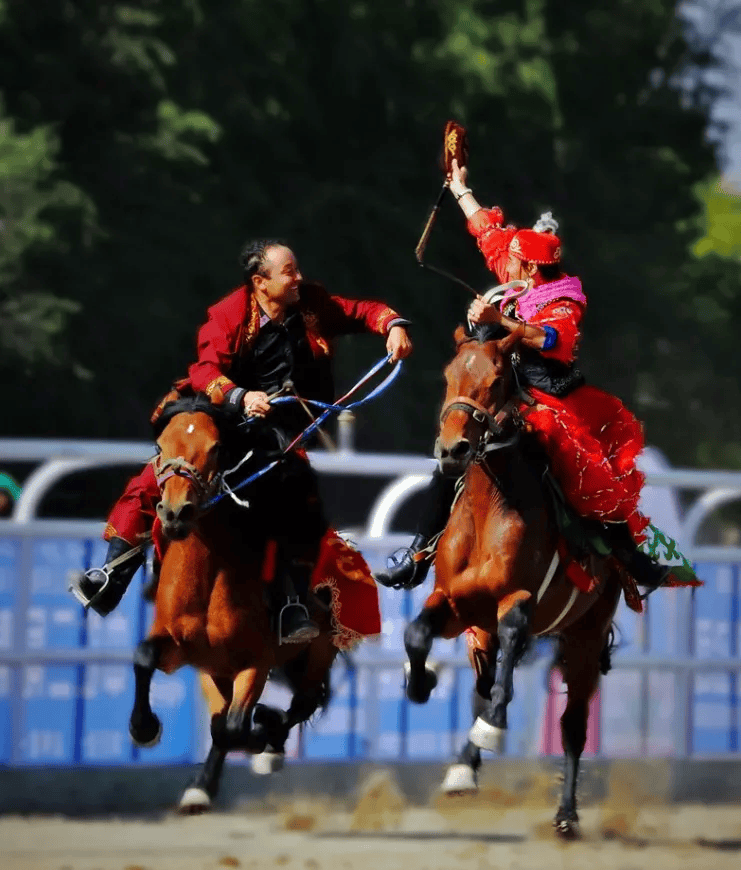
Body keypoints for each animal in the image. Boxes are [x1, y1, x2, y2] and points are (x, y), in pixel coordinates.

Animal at [129, 396, 338, 768]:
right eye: (159, 446)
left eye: (216, 448)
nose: (175, 513)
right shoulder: (181, 647)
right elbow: (144, 656)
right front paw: (144, 728)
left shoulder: (256, 661)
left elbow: (233, 727)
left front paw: (262, 728)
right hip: (219, 669)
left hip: (318, 653)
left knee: (304, 702)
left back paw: (271, 730)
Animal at [404, 326, 624, 836]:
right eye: (449, 374)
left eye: (497, 379)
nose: (453, 451)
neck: (489, 511)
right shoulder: (456, 602)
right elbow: (417, 633)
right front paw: (420, 683)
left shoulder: (519, 601)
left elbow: (508, 659)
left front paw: (490, 727)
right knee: (483, 684)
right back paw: (464, 767)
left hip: (587, 634)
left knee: (573, 724)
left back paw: (566, 814)